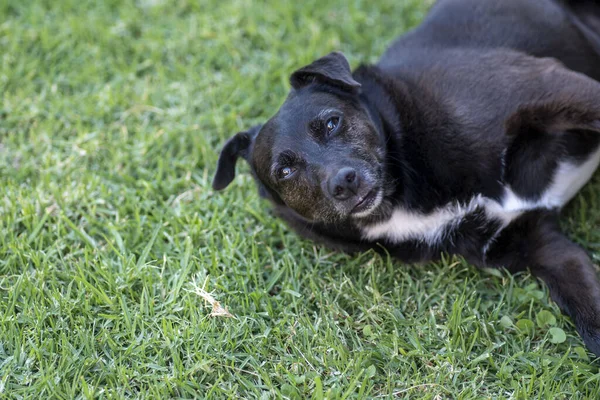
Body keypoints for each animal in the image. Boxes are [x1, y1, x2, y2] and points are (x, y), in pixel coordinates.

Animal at [212, 0, 600, 356]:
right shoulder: (537, 243)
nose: (344, 182)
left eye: (331, 122)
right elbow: (590, 316)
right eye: (285, 170)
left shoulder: (550, 88)